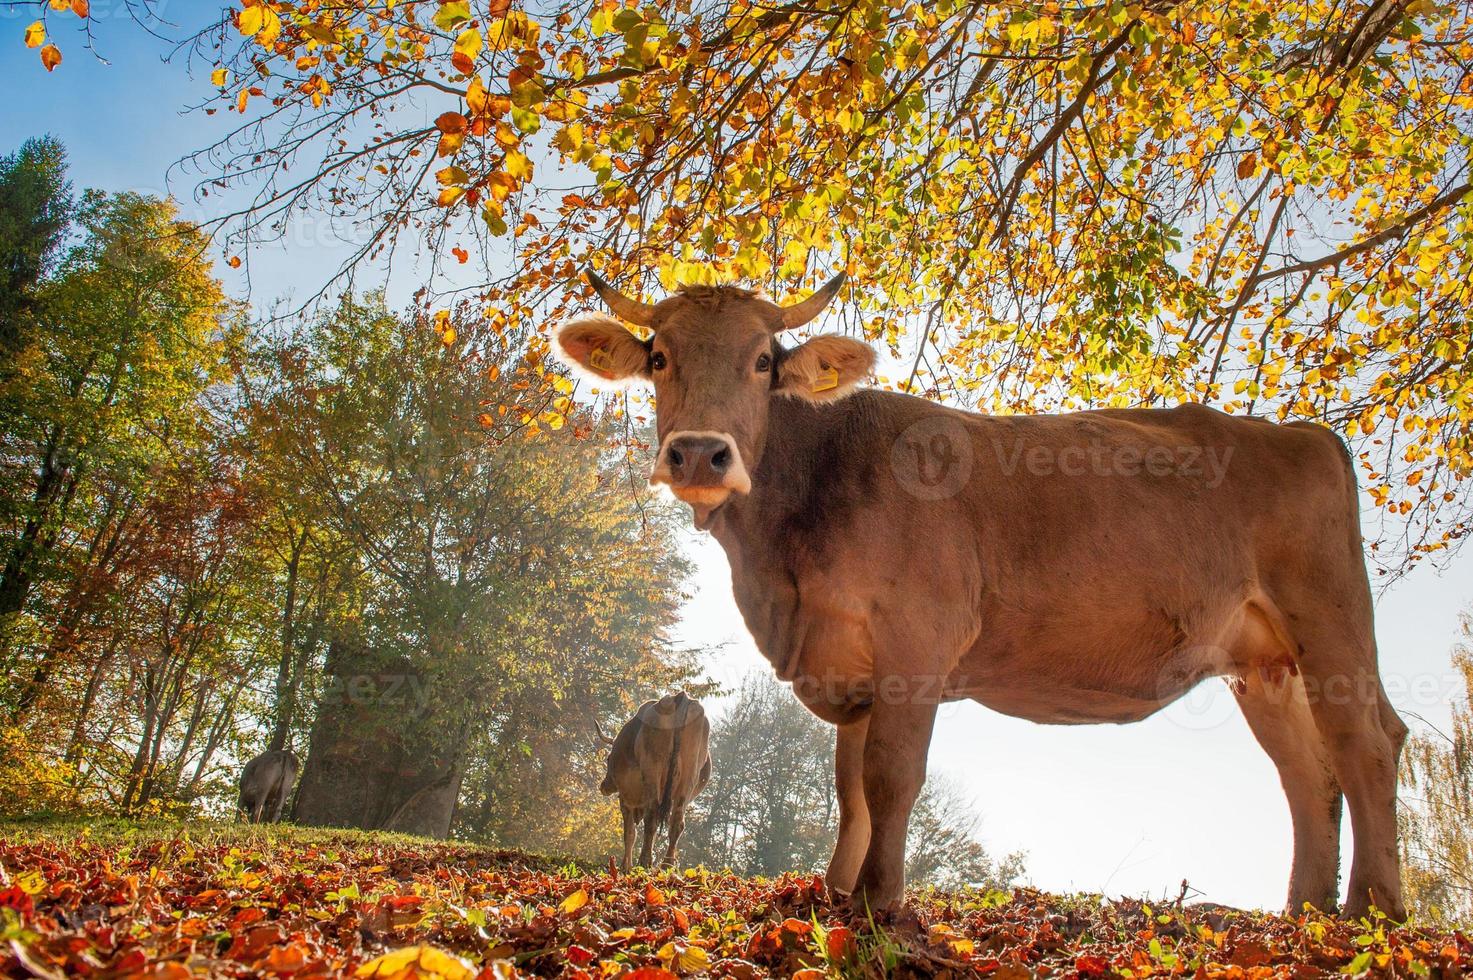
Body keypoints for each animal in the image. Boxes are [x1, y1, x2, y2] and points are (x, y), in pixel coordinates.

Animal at [598, 692, 712, 866]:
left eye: (608, 759)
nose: (604, 786)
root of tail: (679, 698)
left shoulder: (626, 799)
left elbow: (629, 834)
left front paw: (625, 866)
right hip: (689, 777)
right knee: (677, 822)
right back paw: (667, 864)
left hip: (653, 770)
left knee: (651, 815)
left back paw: (645, 861)